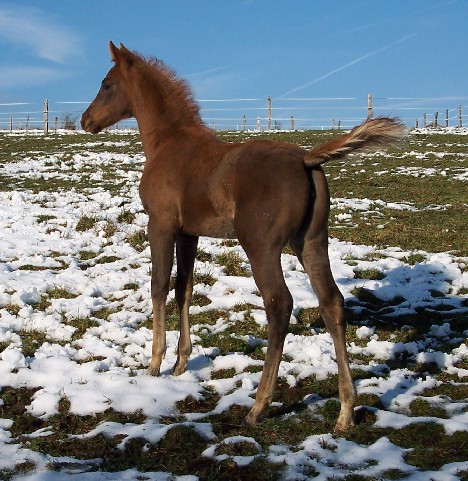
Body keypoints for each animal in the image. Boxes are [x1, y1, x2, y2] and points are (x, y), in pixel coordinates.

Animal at [82, 42, 404, 432]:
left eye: (107, 84)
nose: (85, 121)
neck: (169, 145)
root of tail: (306, 159)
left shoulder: (160, 224)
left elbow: (158, 285)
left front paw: (154, 364)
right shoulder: (189, 233)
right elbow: (184, 288)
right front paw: (180, 363)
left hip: (261, 247)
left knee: (279, 304)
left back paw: (258, 406)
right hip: (311, 241)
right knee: (332, 302)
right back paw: (345, 412)